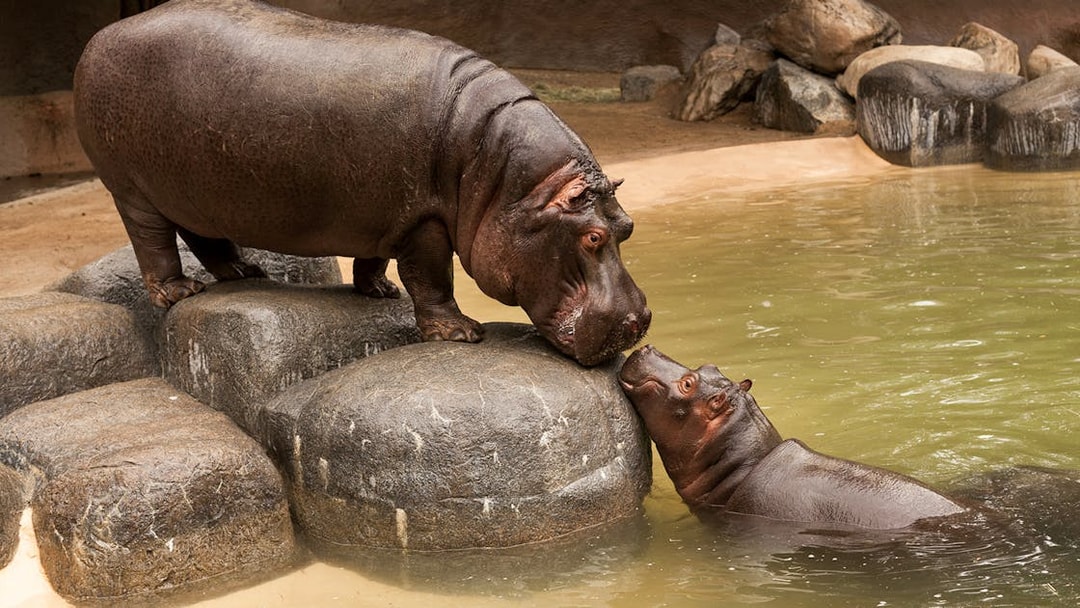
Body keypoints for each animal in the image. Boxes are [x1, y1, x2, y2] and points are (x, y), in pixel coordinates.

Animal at [73, 0, 650, 366]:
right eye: (592, 236)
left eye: (627, 227)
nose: (640, 321)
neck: (512, 184)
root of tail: (102, 35)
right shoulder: (422, 220)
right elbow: (432, 277)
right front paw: (461, 334)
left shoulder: (385, 216)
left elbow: (374, 258)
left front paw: (377, 292)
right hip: (132, 189)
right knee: (152, 240)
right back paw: (179, 290)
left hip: (194, 191)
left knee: (202, 234)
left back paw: (244, 271)